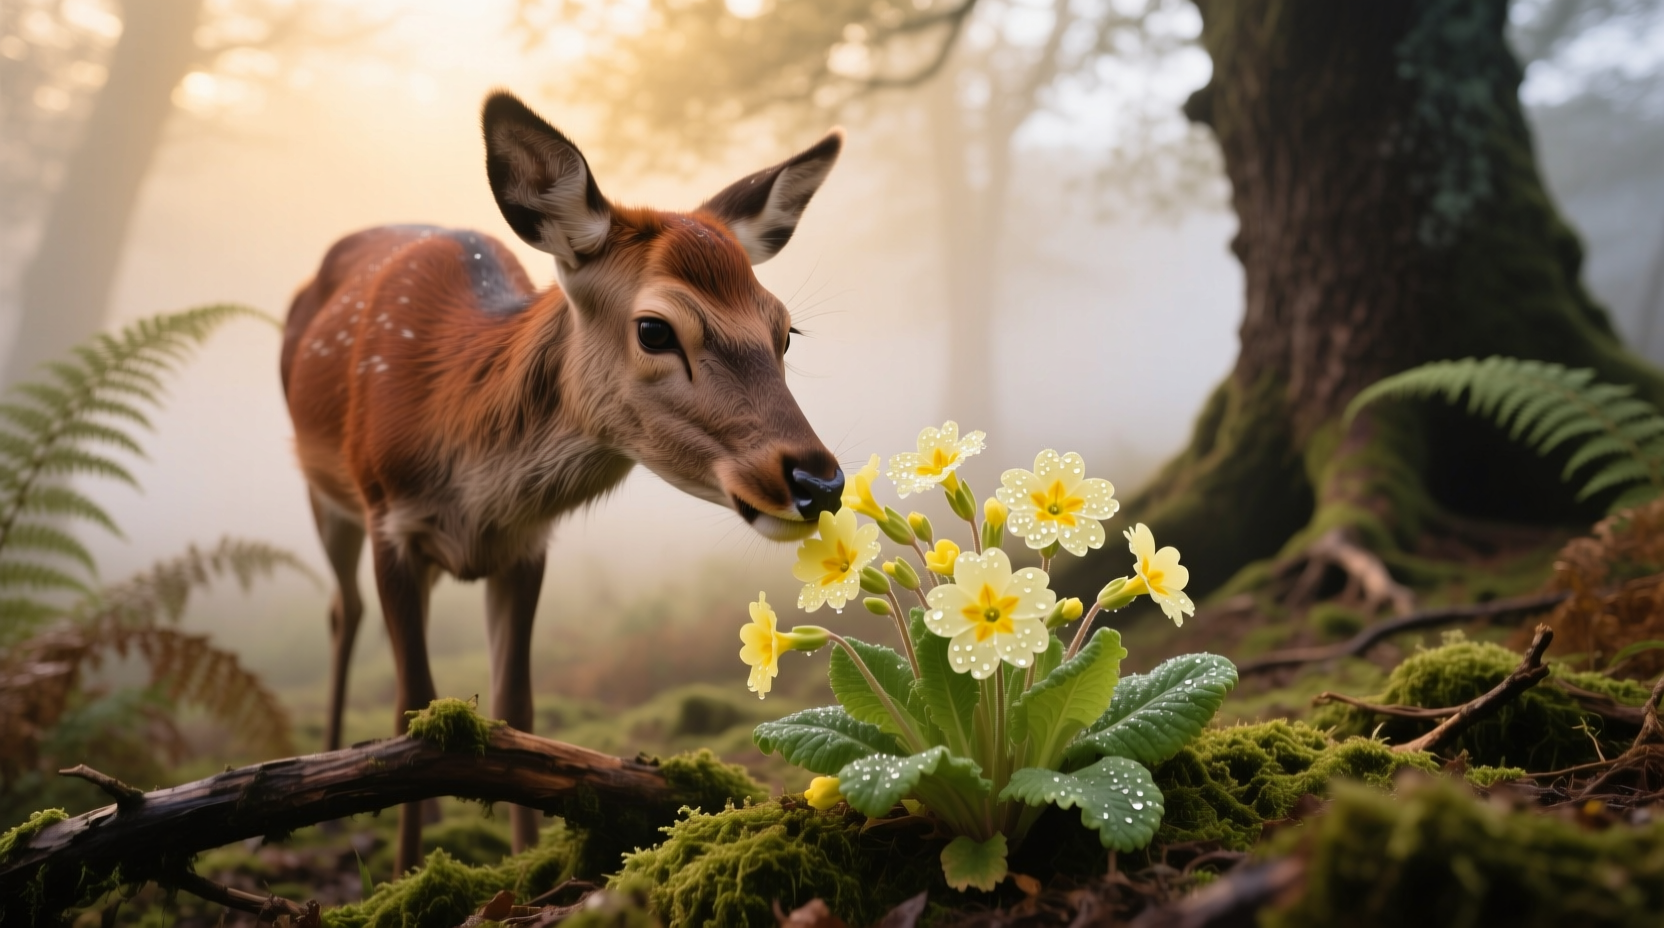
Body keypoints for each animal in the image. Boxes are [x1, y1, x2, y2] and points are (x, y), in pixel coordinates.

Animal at [280, 91, 846, 874]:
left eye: (784, 330)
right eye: (655, 329)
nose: (819, 480)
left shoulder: (526, 543)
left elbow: (515, 709)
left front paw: (518, 867)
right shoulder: (390, 519)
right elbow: (413, 714)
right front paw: (403, 875)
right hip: (327, 492)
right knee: (343, 610)